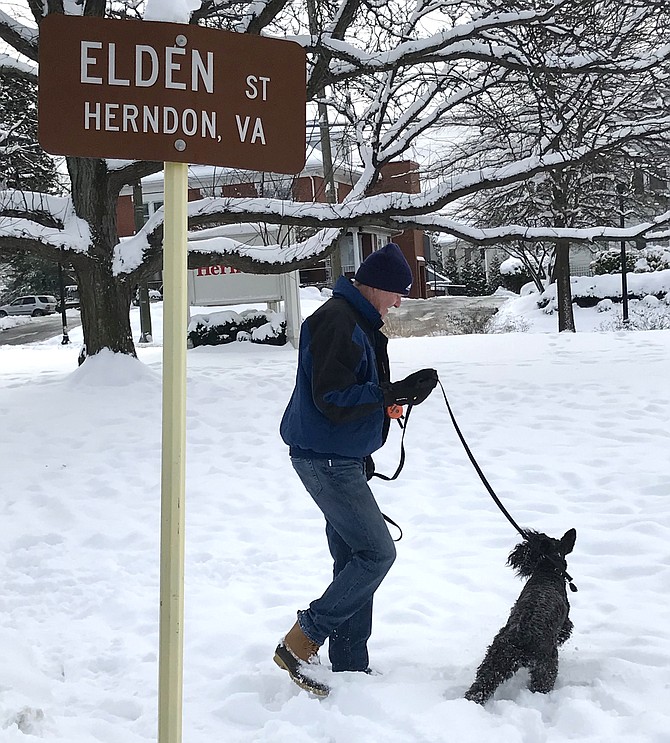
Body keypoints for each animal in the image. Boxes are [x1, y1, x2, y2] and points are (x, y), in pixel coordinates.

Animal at [468, 528, 576, 704]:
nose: (517, 552)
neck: (548, 572)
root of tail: (522, 637)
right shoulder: (566, 623)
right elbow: (565, 631)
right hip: (546, 667)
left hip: (494, 662)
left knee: (479, 688)